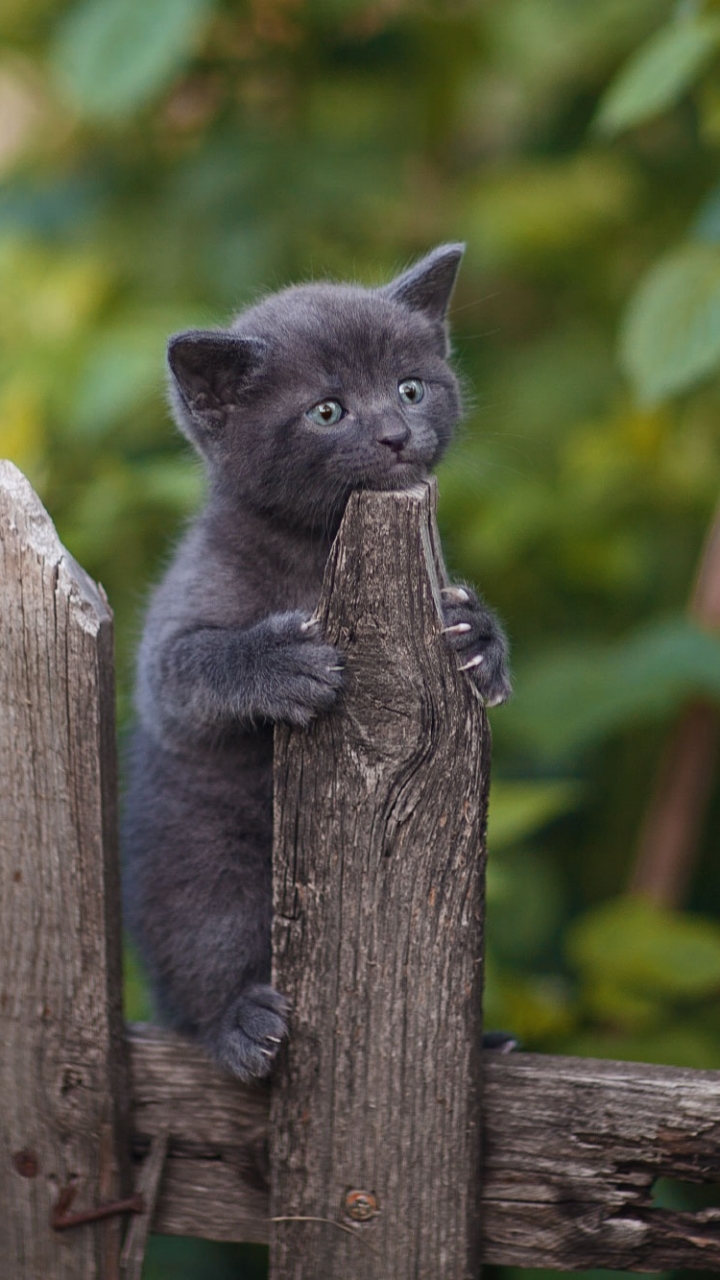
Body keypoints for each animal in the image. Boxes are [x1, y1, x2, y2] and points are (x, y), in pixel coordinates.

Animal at [120, 241, 507, 1080]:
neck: (313, 551)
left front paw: (480, 638)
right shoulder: (175, 630)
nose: (396, 432)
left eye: (411, 388)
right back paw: (240, 1023)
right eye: (327, 411)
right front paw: (281, 661)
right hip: (200, 861)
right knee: (203, 949)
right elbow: (189, 665)